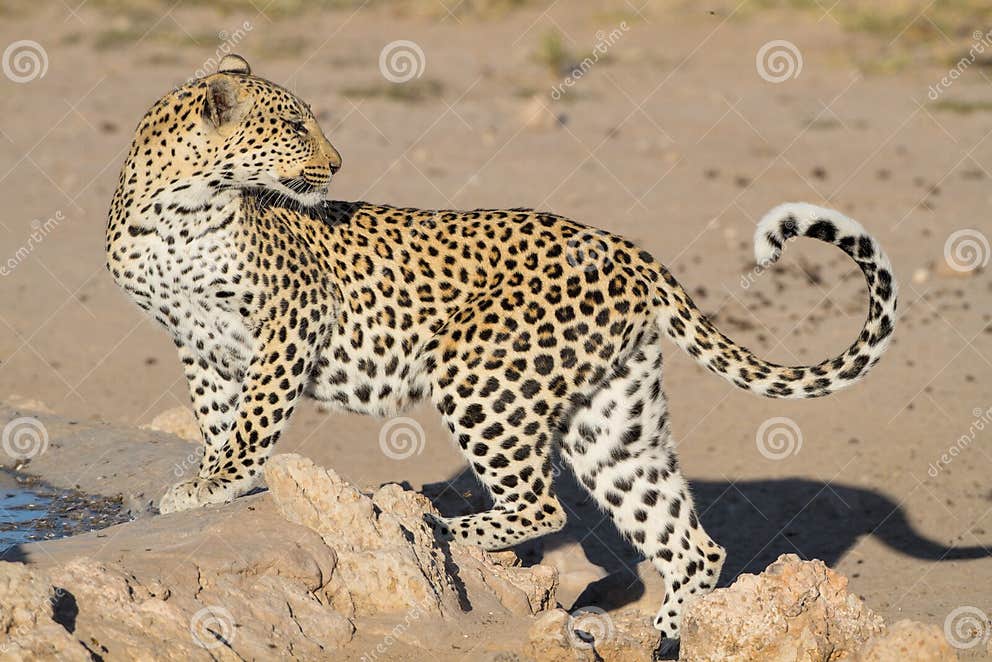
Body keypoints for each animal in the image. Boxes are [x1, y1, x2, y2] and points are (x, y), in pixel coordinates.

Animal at [105, 54, 898, 642]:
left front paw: (208, 486)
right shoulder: (200, 345)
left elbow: (253, 421)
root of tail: (628, 248)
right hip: (611, 418)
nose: (336, 164)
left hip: (475, 370)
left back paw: (434, 525)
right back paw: (664, 636)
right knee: (685, 540)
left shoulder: (290, 321)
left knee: (541, 506)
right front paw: (214, 485)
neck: (176, 210)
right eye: (296, 125)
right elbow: (221, 420)